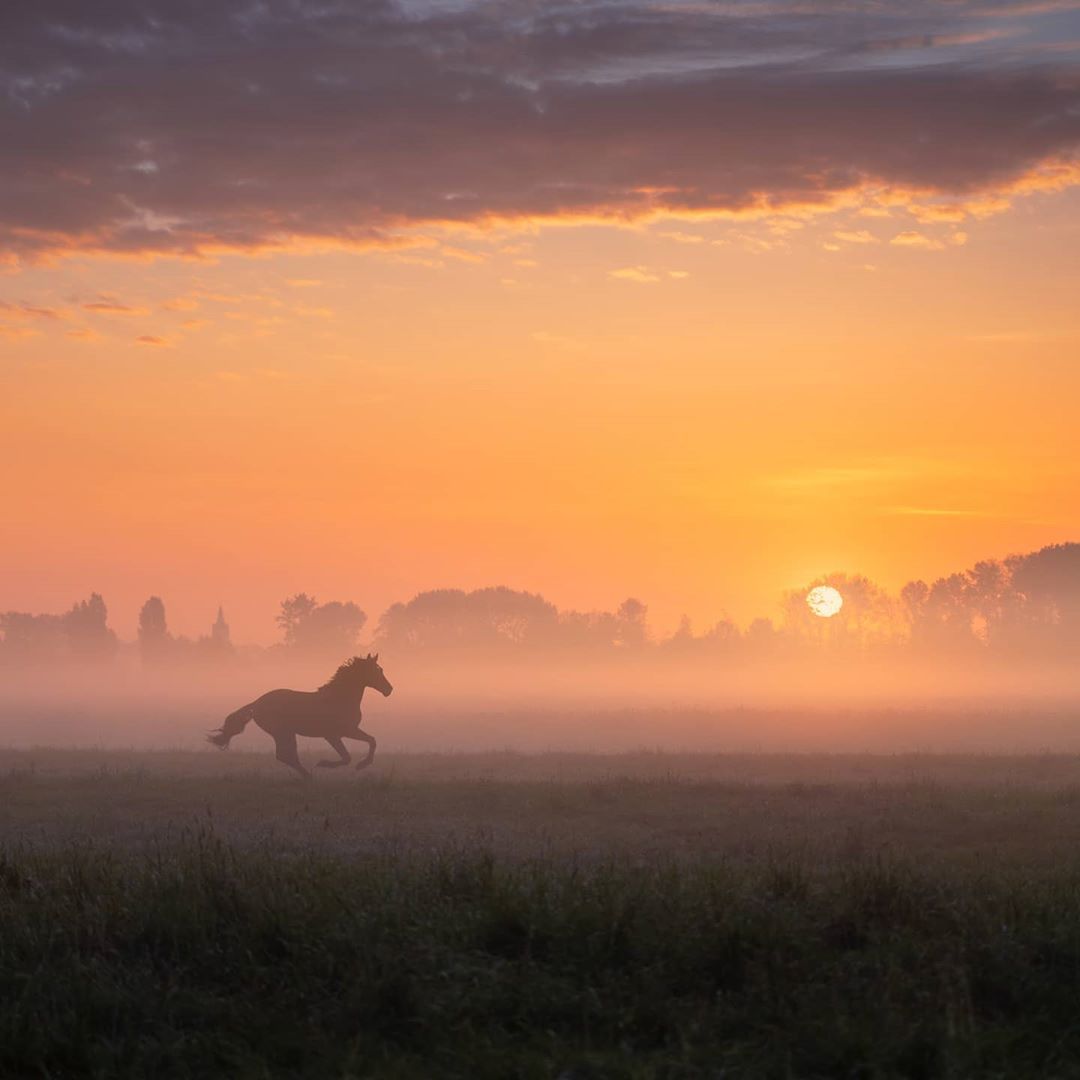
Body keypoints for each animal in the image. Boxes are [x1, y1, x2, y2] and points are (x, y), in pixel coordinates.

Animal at [206, 648, 393, 777]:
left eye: (381, 670)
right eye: (376, 671)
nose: (389, 689)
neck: (338, 699)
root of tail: (257, 703)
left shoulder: (347, 731)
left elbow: (371, 741)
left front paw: (362, 764)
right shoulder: (335, 734)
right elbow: (348, 756)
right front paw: (326, 764)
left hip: (286, 733)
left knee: (285, 755)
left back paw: (307, 775)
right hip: (282, 732)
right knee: (284, 755)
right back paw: (309, 775)